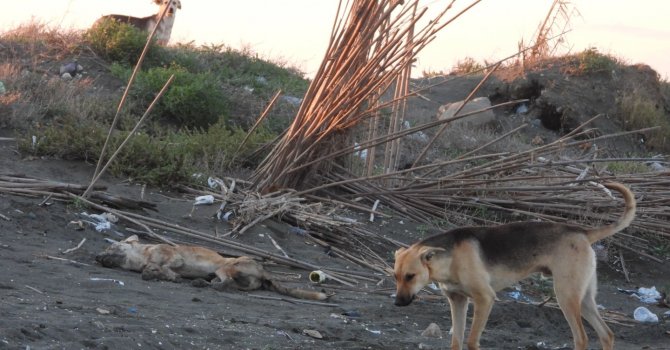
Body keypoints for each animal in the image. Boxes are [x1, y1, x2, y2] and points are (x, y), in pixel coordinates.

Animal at [98, 235, 330, 300]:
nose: (96, 257)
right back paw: (201, 283)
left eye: (111, 246)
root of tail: (265, 271)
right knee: (229, 285)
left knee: (225, 283)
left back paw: (205, 284)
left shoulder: (175, 259)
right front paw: (156, 274)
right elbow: (156, 271)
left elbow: (162, 267)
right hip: (229, 276)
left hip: (226, 267)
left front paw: (162, 273)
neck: (142, 255)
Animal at [396, 182, 636, 350]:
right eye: (395, 277)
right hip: (583, 299)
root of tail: (582, 232)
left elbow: (472, 341)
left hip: (566, 297)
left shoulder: (485, 299)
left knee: (582, 338)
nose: (397, 303)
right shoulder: (457, 301)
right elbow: (456, 342)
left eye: (410, 276)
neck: (450, 257)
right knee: (606, 334)